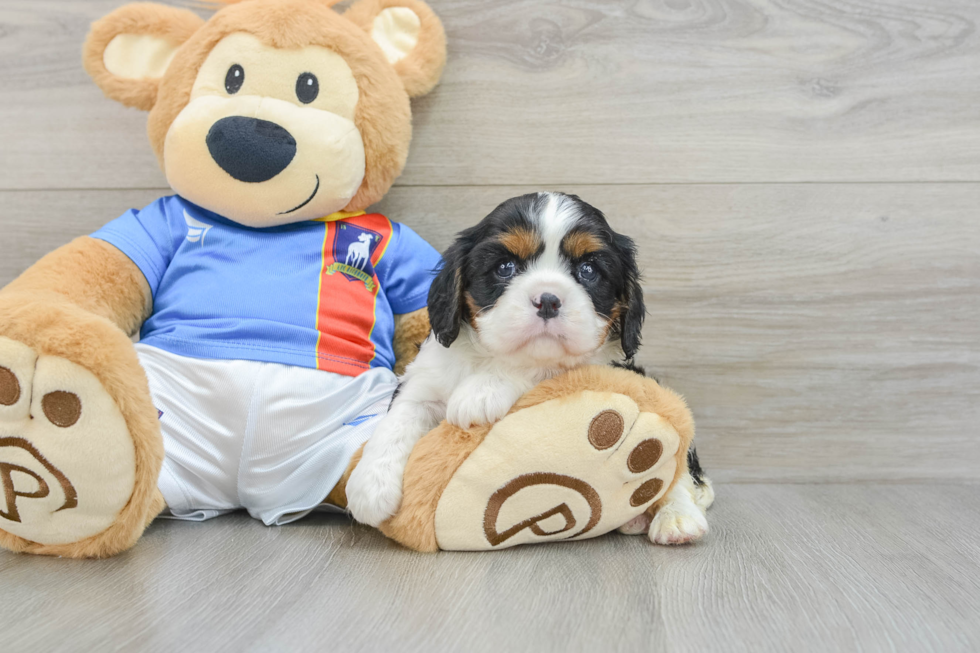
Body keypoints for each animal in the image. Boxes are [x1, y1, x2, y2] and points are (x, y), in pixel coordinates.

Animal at [348, 190, 708, 544]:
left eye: (589, 270)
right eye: (505, 267)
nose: (547, 300)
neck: (488, 357)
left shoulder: (585, 367)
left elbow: (537, 369)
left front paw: (481, 391)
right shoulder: (425, 378)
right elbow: (400, 417)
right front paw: (368, 486)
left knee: (677, 473)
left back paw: (677, 517)